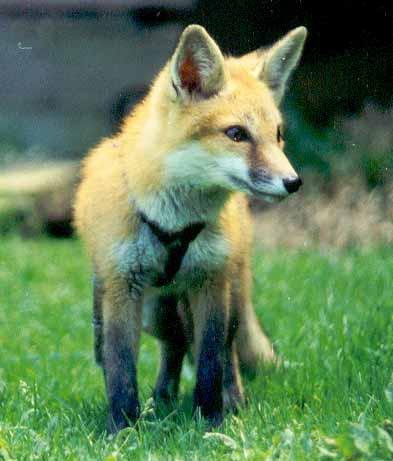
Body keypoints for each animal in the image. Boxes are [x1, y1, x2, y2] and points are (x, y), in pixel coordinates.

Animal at [73, 23, 306, 434]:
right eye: (236, 134)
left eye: (277, 134)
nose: (292, 182)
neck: (172, 222)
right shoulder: (120, 287)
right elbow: (119, 366)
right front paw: (122, 428)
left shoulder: (210, 282)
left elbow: (211, 362)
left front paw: (211, 422)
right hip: (153, 312)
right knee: (175, 344)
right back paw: (161, 400)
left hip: (228, 296)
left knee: (222, 351)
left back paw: (234, 403)